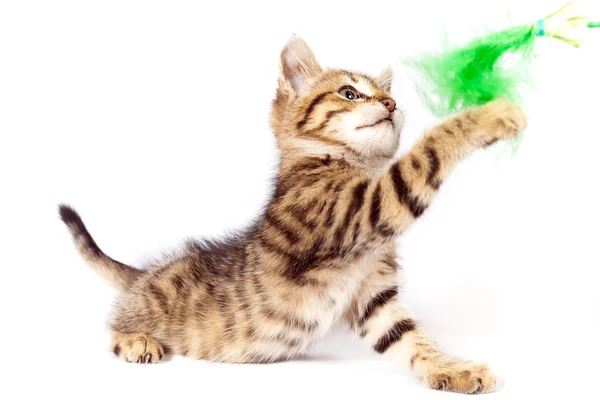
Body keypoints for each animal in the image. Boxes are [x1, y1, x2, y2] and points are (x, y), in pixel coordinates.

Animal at [61, 36, 524, 394]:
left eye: (385, 94)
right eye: (349, 93)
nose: (392, 103)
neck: (335, 163)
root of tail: (144, 275)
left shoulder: (373, 297)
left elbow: (408, 339)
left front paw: (450, 369)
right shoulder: (363, 209)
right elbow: (423, 156)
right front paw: (489, 114)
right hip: (143, 309)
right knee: (111, 322)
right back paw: (135, 340)